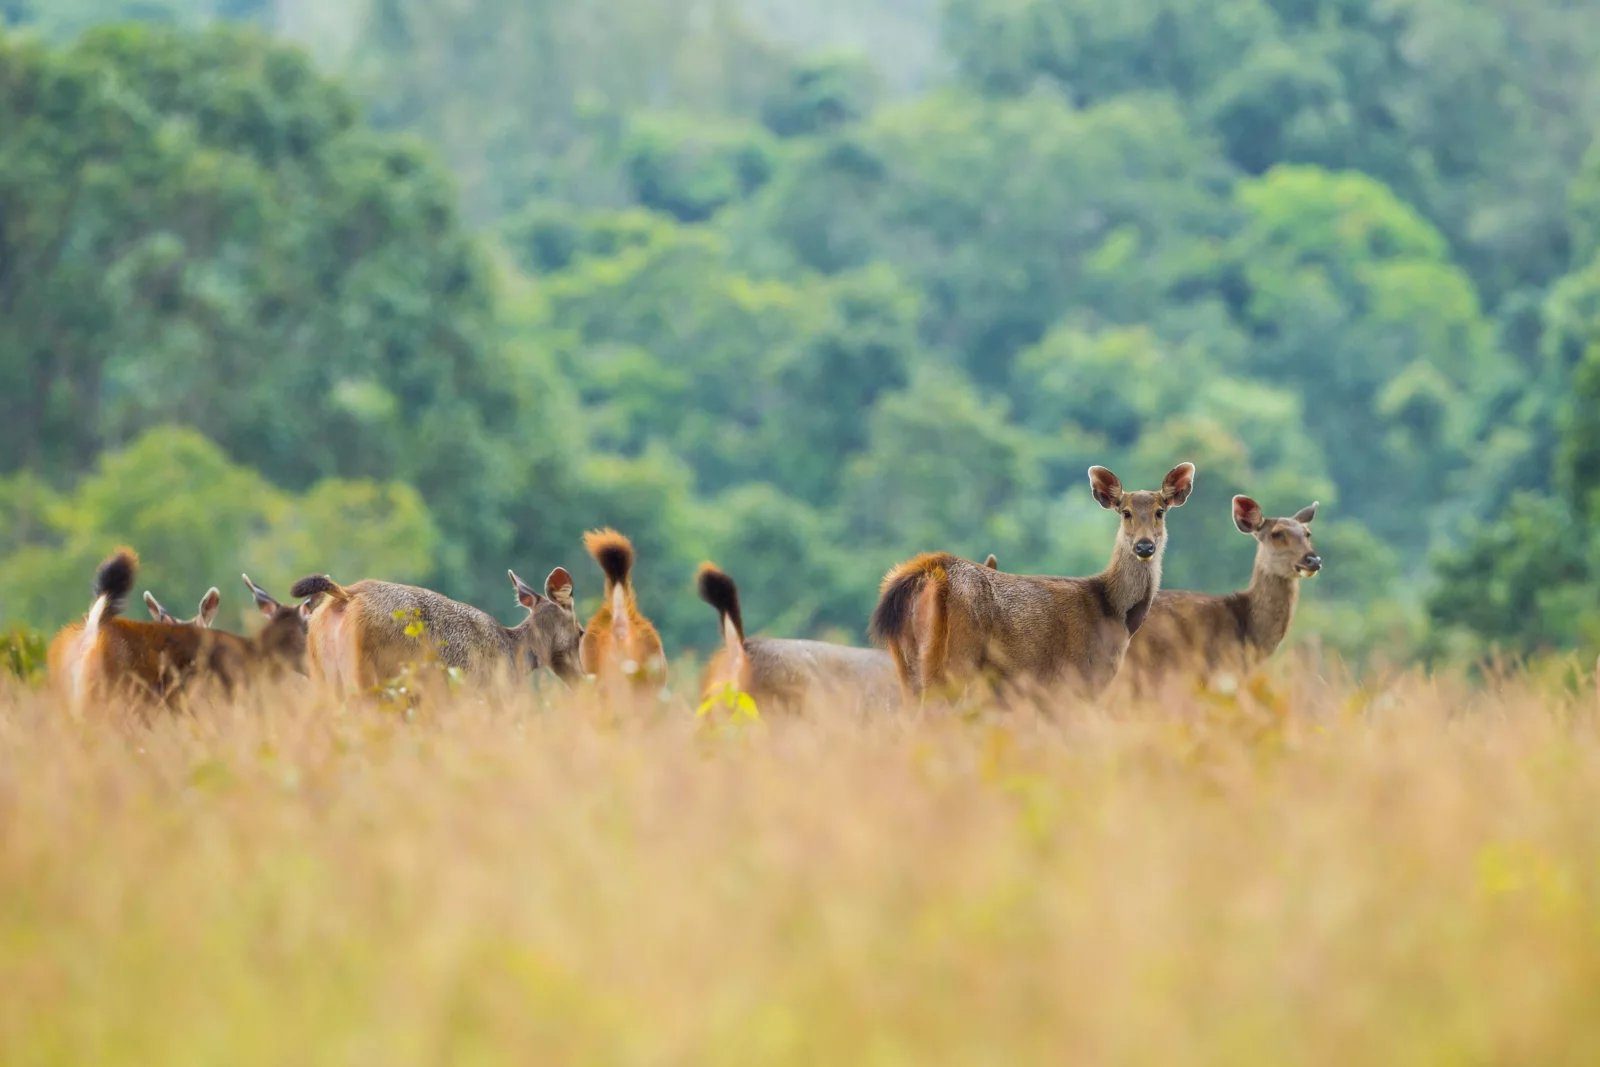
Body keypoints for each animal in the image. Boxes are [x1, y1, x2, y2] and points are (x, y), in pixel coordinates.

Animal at [289, 567, 583, 695]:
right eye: (581, 632)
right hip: (371, 680)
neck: (515, 652)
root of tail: (346, 595)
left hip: (324, 680)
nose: (582, 677)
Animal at [870, 462, 1195, 703]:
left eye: (1160, 511)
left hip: (908, 665)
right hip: (954, 660)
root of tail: (929, 569)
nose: (1145, 546)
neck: (1114, 613)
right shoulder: (1077, 681)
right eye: (1125, 512)